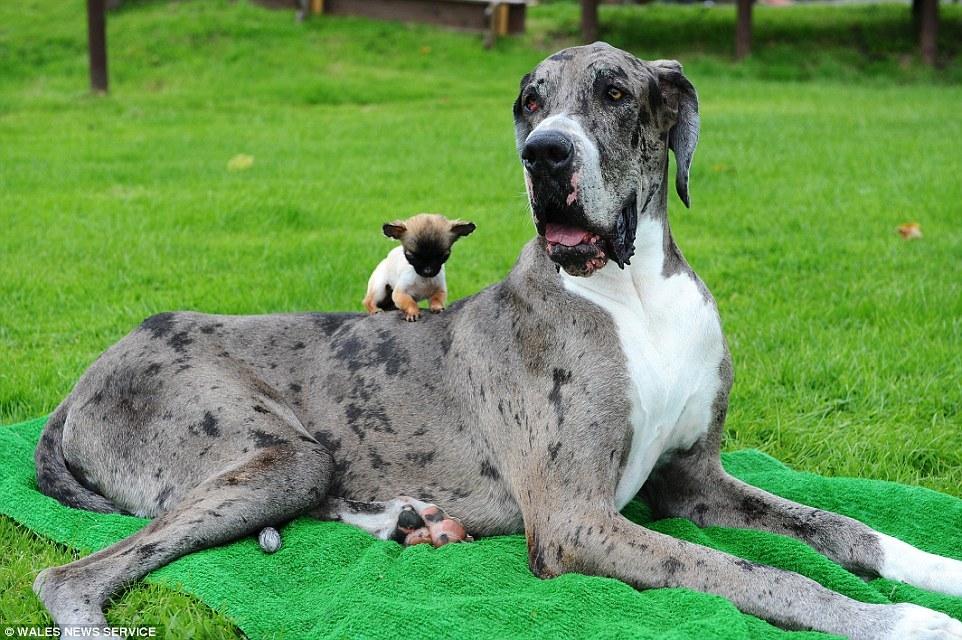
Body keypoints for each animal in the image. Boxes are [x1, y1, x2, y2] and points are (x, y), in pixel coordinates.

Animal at [33, 42, 960, 636]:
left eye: (615, 94)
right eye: (529, 103)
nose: (545, 155)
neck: (629, 294)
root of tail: (86, 376)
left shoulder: (692, 482)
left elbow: (837, 527)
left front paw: (937, 573)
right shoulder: (576, 519)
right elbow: (754, 574)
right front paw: (900, 621)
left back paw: (415, 523)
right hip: (281, 455)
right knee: (67, 576)